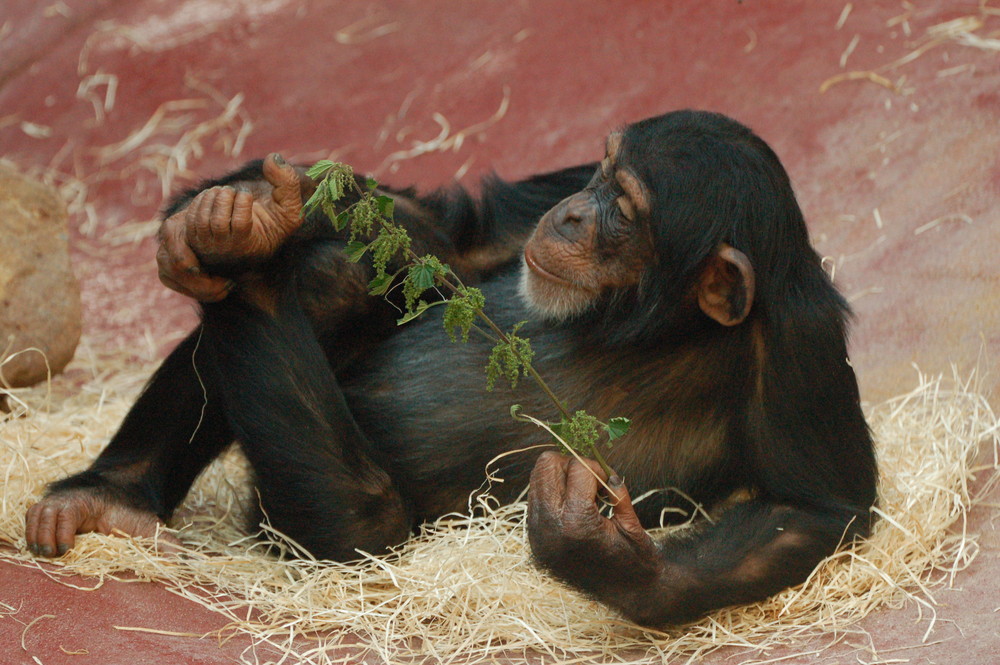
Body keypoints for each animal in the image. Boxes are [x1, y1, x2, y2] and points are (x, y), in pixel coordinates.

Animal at [19, 111, 872, 624]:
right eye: (598, 177)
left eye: (624, 209)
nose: (573, 216)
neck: (660, 319)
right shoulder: (529, 211)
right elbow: (451, 240)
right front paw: (252, 206)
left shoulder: (802, 350)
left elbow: (814, 508)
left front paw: (605, 557)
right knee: (333, 280)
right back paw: (113, 491)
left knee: (361, 515)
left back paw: (249, 274)